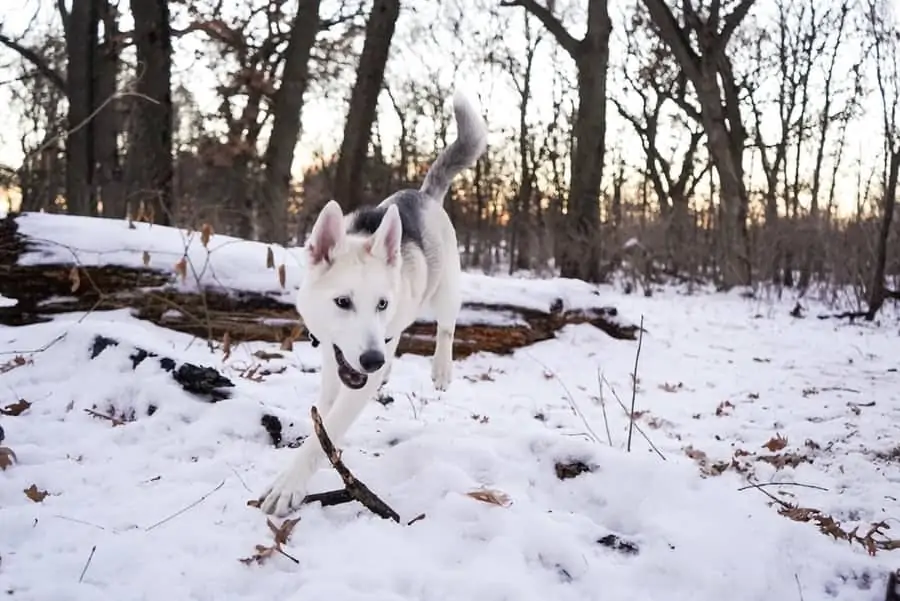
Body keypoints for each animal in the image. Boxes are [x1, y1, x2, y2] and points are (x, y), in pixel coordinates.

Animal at [256, 91, 488, 512]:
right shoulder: (334, 363)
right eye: (342, 302)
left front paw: (289, 482)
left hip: (446, 291)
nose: (372, 360)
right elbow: (323, 415)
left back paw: (438, 368)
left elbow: (326, 432)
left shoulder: (359, 376)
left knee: (446, 327)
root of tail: (423, 195)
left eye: (381, 303)